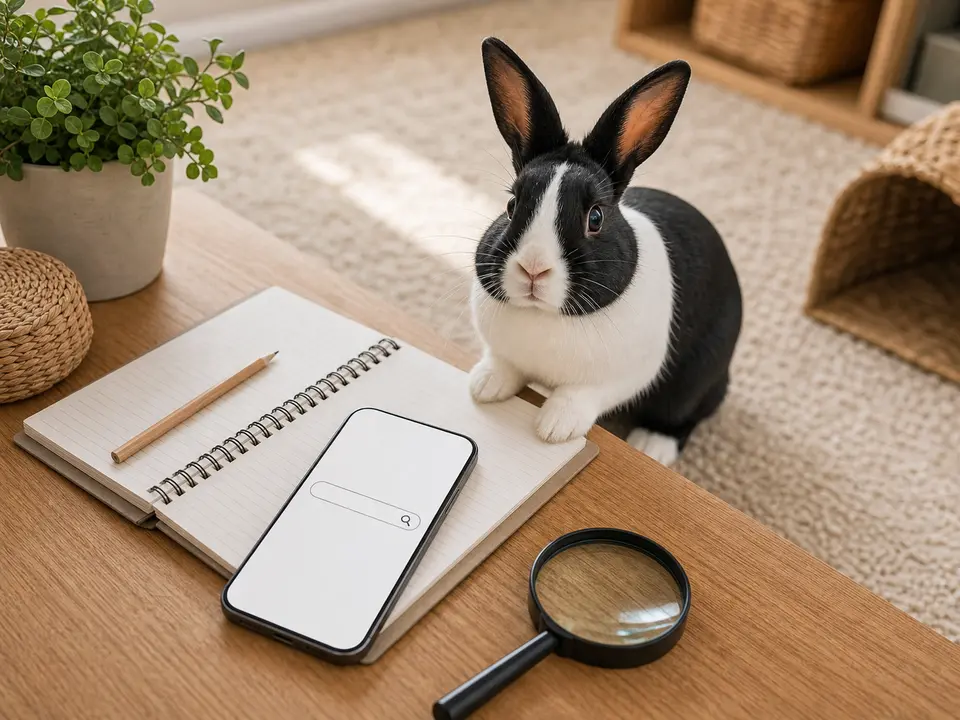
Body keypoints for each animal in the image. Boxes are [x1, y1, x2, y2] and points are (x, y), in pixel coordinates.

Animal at [468, 37, 742, 466]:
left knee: (686, 413)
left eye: (595, 217)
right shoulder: (503, 351)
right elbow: (502, 363)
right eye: (513, 205)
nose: (533, 269)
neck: (542, 315)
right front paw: (484, 386)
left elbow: (582, 395)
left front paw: (555, 428)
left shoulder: (623, 376)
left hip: (698, 377)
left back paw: (652, 446)